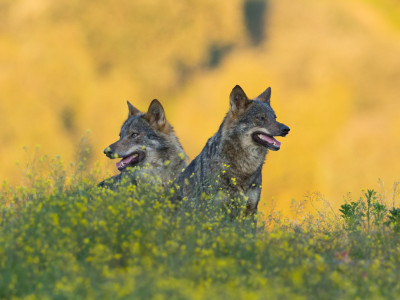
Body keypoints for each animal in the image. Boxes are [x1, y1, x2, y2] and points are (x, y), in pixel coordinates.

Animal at [175, 85, 290, 216]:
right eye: (261, 118)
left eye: (275, 118)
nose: (286, 129)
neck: (245, 167)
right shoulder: (216, 209)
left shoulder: (250, 209)